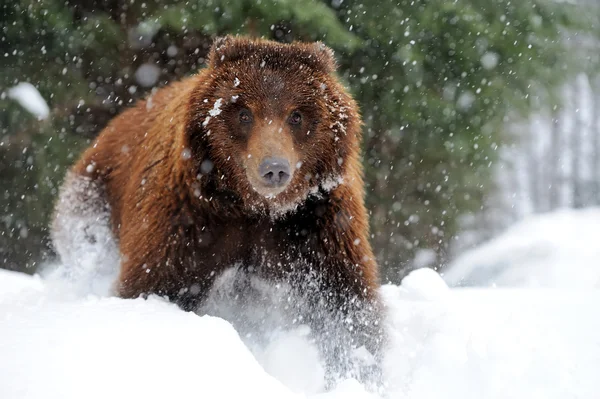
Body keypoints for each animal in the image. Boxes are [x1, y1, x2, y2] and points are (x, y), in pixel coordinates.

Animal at [54, 36, 386, 384]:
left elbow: (343, 309)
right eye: (244, 113)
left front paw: (355, 371)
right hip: (92, 198)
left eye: (296, 115)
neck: (253, 208)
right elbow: (153, 282)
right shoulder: (188, 220)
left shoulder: (316, 225)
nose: (274, 168)